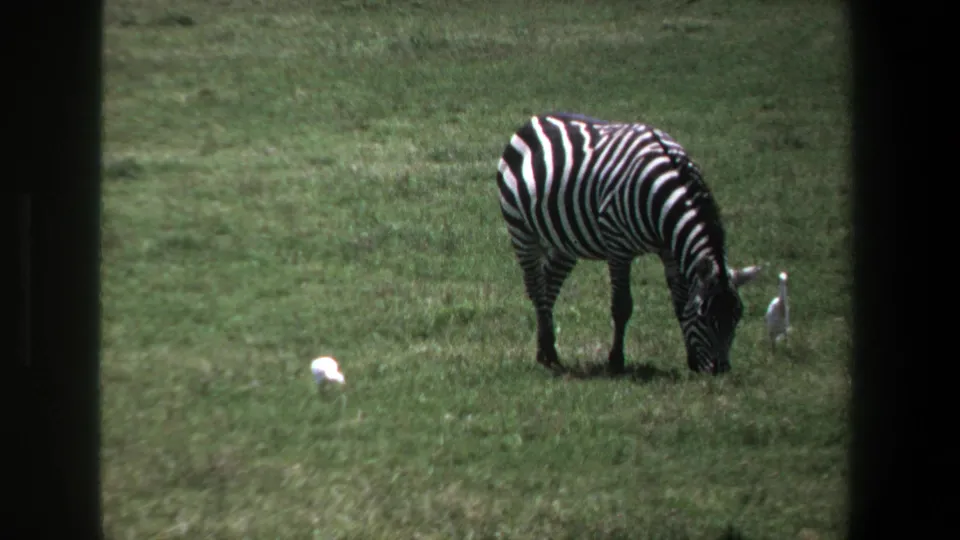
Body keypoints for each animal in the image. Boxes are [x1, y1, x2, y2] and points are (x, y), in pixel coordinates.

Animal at [495, 113, 761, 375]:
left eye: (738, 316)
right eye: (704, 315)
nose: (720, 371)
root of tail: (536, 118)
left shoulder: (669, 251)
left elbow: (680, 301)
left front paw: (692, 359)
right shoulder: (618, 247)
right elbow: (622, 306)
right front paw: (615, 361)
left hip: (566, 239)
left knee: (550, 281)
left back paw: (547, 348)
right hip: (521, 230)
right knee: (535, 286)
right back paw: (546, 353)